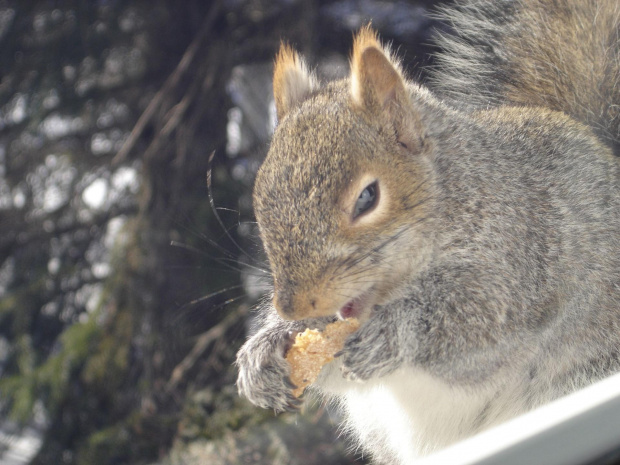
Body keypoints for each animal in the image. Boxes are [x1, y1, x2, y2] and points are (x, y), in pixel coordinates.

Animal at [235, 1, 616, 462]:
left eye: (367, 198)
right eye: (260, 192)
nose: (293, 307)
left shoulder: (521, 264)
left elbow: (475, 325)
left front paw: (392, 333)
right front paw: (265, 350)